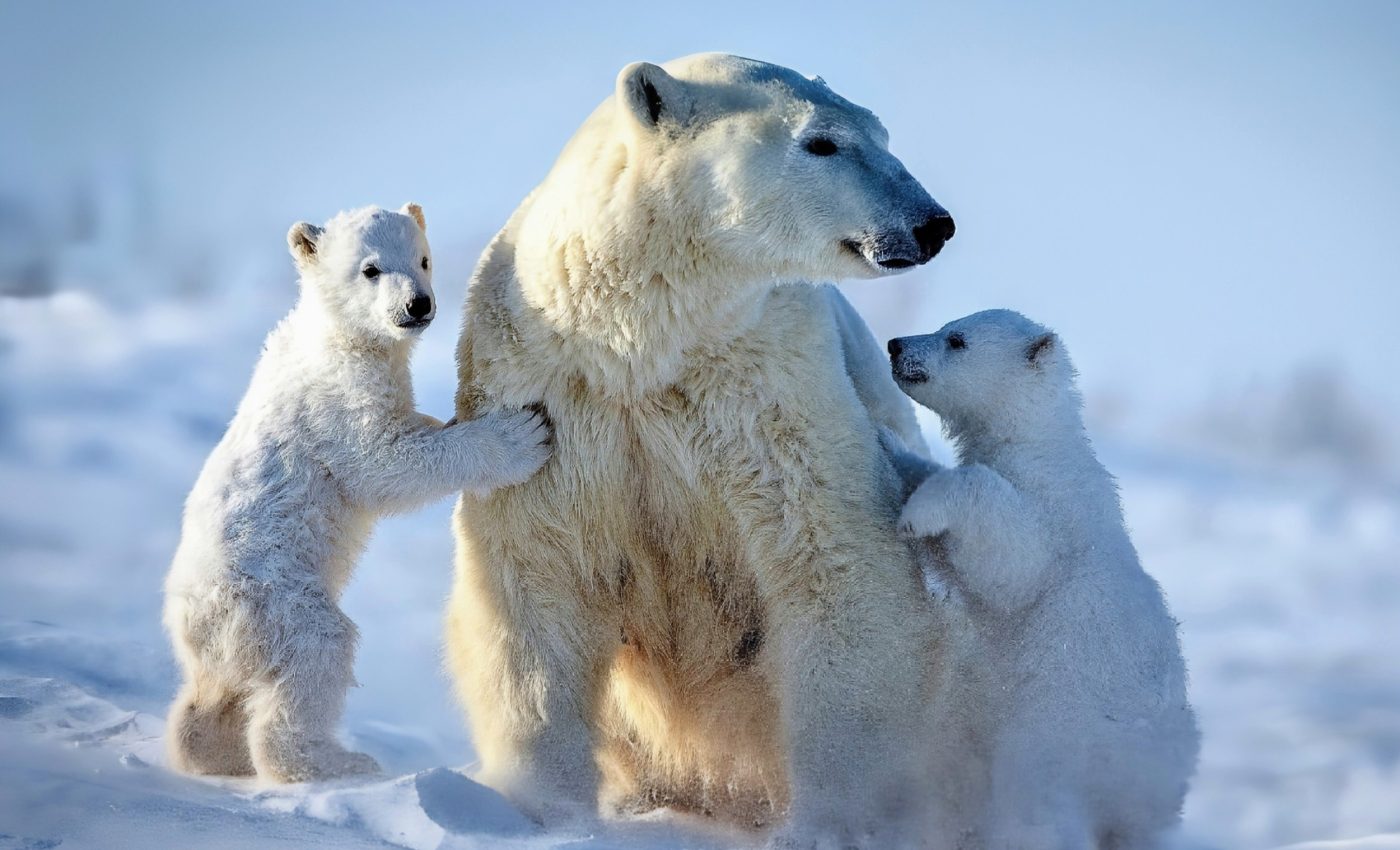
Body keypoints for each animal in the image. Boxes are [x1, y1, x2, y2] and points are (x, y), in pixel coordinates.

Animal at [163, 204, 552, 783]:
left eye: (423, 259)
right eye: (370, 269)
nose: (418, 304)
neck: (335, 334)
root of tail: (187, 625)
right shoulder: (338, 398)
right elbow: (383, 463)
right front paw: (520, 434)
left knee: (216, 694)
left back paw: (208, 749)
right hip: (271, 598)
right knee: (315, 653)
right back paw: (335, 762)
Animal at [445, 53, 953, 847]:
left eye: (879, 132)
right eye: (822, 142)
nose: (932, 223)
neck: (643, 341)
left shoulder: (771, 389)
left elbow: (834, 564)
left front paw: (826, 823)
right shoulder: (550, 396)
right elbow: (535, 580)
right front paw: (544, 812)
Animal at [885, 309, 1199, 850]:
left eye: (956, 339)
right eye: (947, 326)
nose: (895, 344)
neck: (1039, 443)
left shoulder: (1053, 512)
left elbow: (1014, 562)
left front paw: (918, 513)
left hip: (1054, 744)